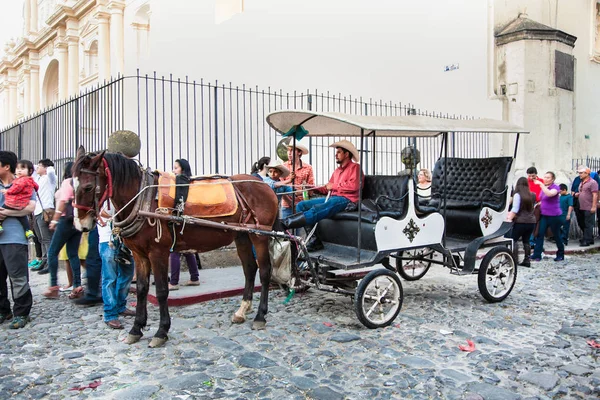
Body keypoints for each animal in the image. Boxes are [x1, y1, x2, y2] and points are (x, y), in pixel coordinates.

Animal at [73, 147, 282, 346]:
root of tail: (265, 186)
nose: (81, 225)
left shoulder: (158, 252)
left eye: (88, 187)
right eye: (71, 184)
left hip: (259, 235)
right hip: (242, 235)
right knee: (250, 268)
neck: (143, 199)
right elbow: (141, 289)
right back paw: (242, 310)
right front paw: (136, 329)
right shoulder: (139, 254)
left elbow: (161, 291)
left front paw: (161, 331)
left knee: (264, 271)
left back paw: (260, 316)